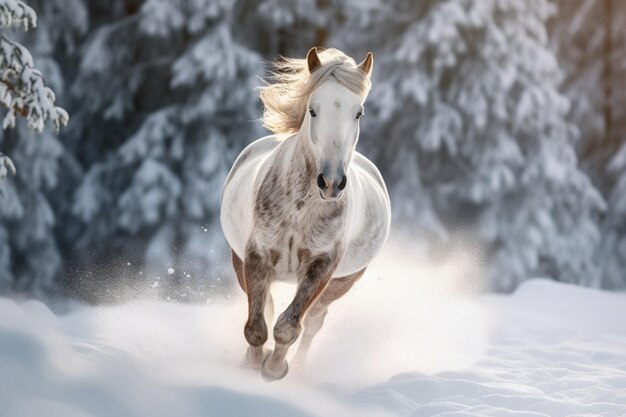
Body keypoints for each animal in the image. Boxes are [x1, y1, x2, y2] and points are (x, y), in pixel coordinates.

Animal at [218, 47, 386, 378]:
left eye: (358, 112)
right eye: (313, 109)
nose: (331, 182)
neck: (301, 208)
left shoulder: (322, 267)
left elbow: (289, 326)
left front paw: (274, 369)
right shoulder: (256, 256)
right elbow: (256, 326)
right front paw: (252, 363)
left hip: (342, 283)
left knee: (312, 323)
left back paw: (296, 366)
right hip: (240, 261)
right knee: (267, 306)